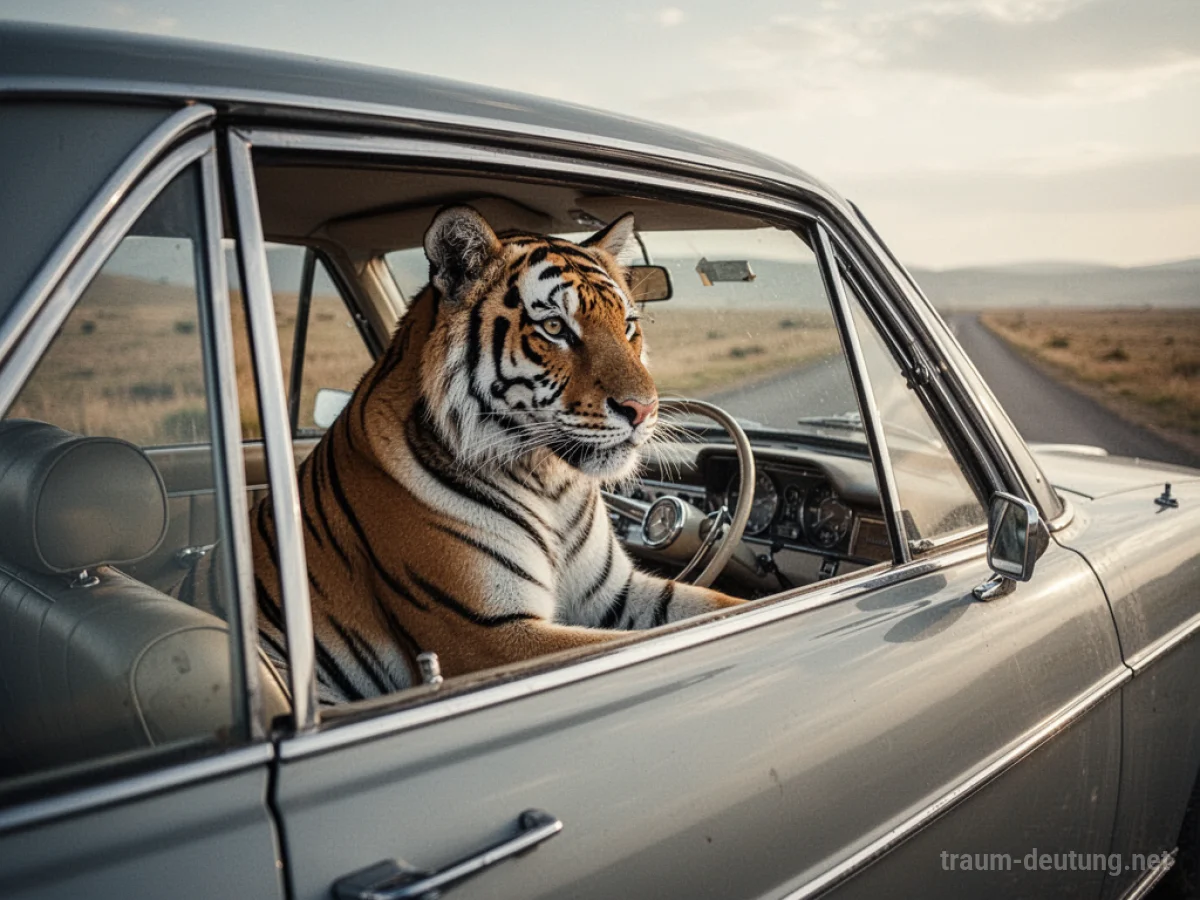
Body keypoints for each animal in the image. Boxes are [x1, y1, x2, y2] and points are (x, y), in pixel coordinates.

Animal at [248, 205, 744, 705]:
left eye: (627, 326)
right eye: (554, 328)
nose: (645, 410)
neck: (551, 483)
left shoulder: (614, 592)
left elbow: (724, 604)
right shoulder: (490, 635)